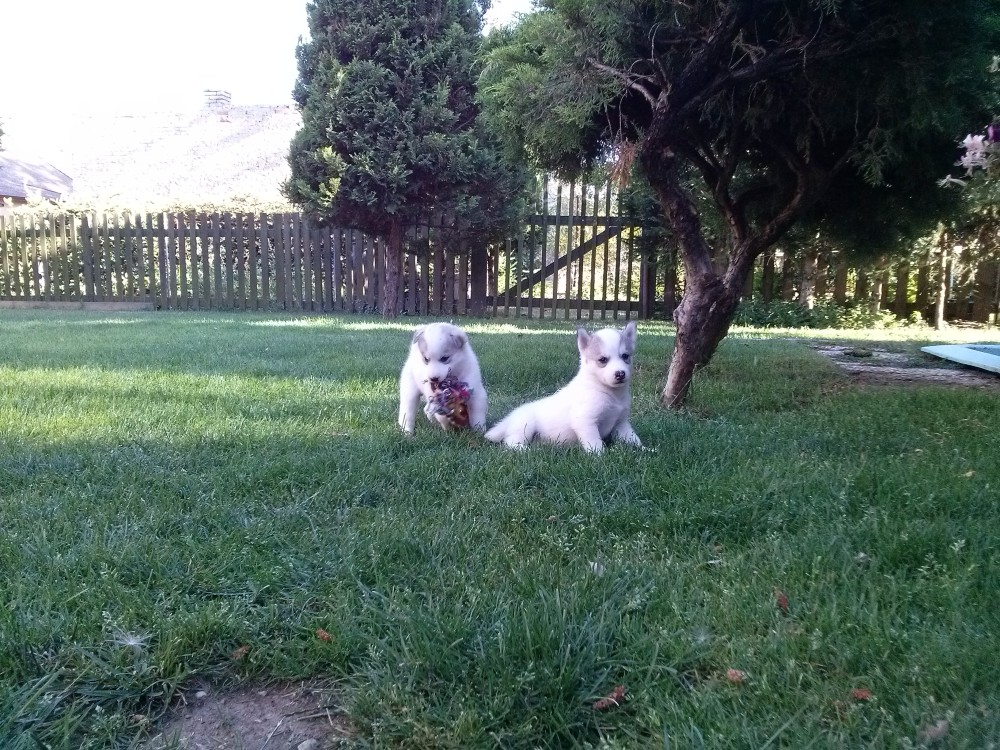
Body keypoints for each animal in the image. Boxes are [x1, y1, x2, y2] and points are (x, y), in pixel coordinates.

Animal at [485, 321, 642, 454]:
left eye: (625, 356)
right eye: (603, 360)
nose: (620, 374)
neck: (612, 394)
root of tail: (509, 418)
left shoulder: (621, 423)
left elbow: (633, 438)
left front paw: (644, 450)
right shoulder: (585, 421)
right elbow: (595, 443)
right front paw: (600, 457)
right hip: (525, 426)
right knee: (511, 443)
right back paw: (527, 450)